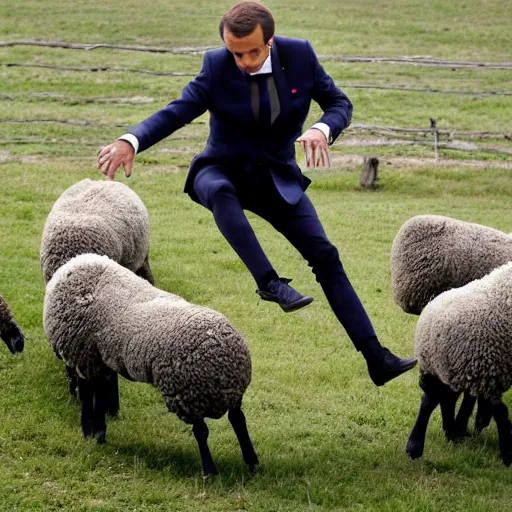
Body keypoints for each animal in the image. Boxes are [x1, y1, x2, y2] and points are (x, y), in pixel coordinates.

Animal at [43, 254, 260, 478]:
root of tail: (77, 261)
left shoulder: (205, 398)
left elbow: (231, 423)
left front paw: (245, 463)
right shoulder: (187, 399)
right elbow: (202, 432)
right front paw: (210, 471)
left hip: (93, 356)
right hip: (83, 352)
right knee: (88, 392)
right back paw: (90, 432)